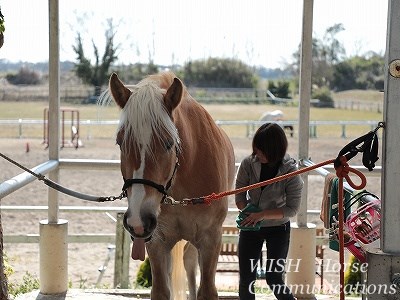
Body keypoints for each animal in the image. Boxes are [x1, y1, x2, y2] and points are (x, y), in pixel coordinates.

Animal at [100, 71, 236, 298]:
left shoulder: (211, 239)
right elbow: (162, 290)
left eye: (168, 143)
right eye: (120, 142)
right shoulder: (157, 241)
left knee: (190, 262)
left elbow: (207, 290)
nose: (138, 220)